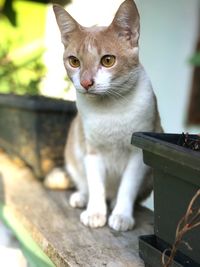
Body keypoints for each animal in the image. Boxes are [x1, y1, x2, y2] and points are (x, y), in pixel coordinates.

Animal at [45, 0, 162, 231]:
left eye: (108, 60)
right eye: (74, 61)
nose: (86, 82)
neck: (110, 109)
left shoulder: (137, 155)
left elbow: (127, 187)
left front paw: (122, 215)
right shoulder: (92, 152)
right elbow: (96, 185)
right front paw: (95, 213)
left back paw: (115, 202)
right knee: (85, 184)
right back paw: (82, 197)